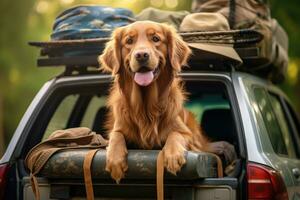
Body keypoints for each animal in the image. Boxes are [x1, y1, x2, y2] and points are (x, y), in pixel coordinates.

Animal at [98, 20, 234, 183]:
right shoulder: (119, 127)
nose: (141, 55)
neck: (146, 107)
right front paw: (115, 160)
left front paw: (173, 155)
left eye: (156, 39)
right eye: (129, 41)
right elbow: (116, 136)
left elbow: (175, 134)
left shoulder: (187, 134)